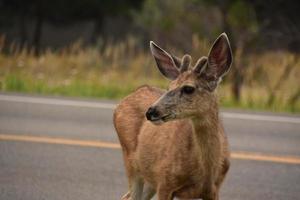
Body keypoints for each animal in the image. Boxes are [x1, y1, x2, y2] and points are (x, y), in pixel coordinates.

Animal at [113, 33, 233, 200]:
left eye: (188, 88)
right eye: (169, 87)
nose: (151, 112)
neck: (205, 171)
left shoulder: (213, 190)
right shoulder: (165, 181)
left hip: (149, 177)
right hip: (131, 162)